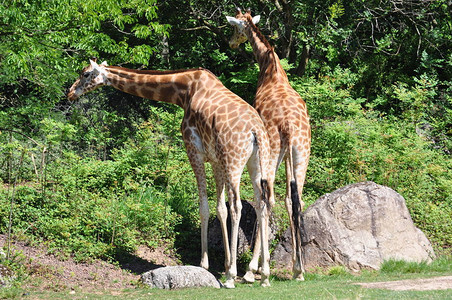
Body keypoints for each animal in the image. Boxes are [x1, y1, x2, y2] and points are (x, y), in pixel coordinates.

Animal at [66, 59, 272, 288]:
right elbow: (220, 209)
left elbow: (205, 207)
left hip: (233, 160)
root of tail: (256, 131)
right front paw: (225, 265)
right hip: (256, 163)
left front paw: (207, 265)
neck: (184, 91)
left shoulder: (194, 149)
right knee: (262, 203)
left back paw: (232, 278)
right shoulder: (215, 159)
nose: (71, 93)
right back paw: (261, 274)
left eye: (85, 74)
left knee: (238, 206)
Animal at [226, 8, 310, 282]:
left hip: (271, 149)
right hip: (302, 152)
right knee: (295, 200)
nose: (231, 43)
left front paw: (255, 268)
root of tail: (289, 125)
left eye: (235, 27)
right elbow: (290, 200)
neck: (271, 69)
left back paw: (253, 270)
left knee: (267, 198)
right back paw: (298, 270)